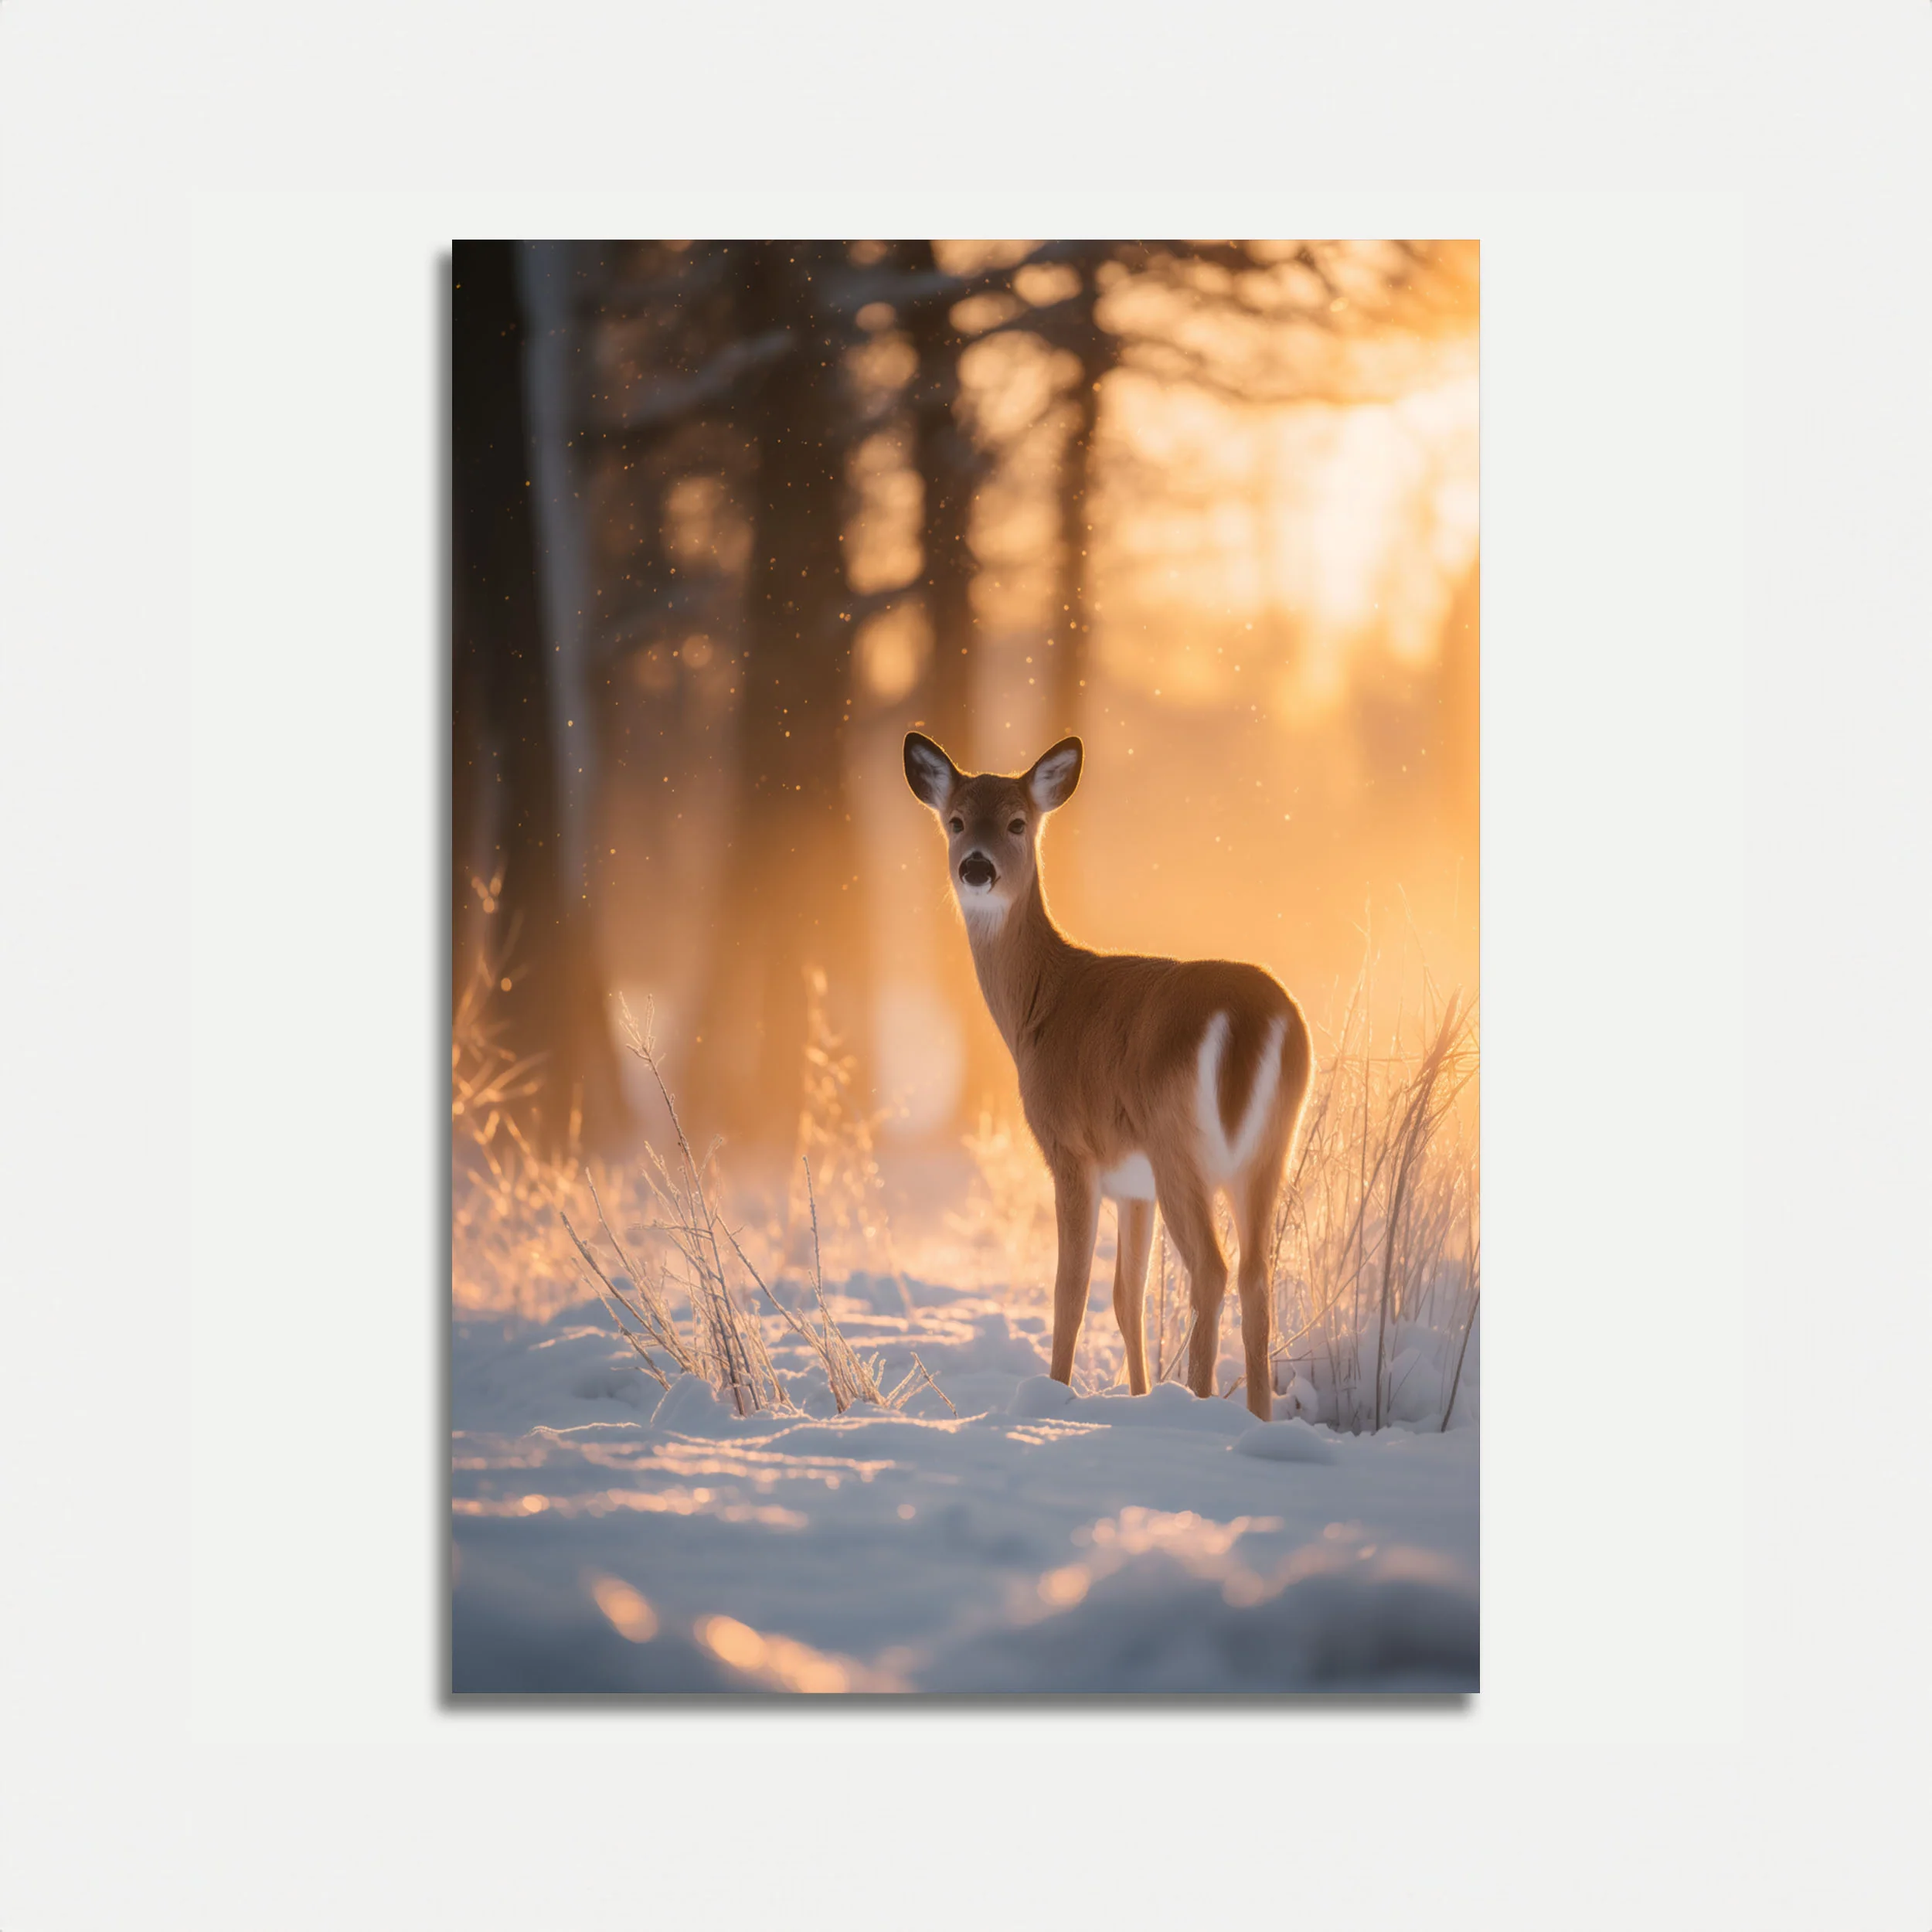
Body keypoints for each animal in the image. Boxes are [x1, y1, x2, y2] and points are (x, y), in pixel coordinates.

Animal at [905, 731, 1312, 1422]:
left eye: (1017, 822)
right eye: (955, 821)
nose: (977, 868)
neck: (1040, 1006)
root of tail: (1253, 1019)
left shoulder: (1071, 1150)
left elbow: (1070, 1290)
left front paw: (1054, 1397)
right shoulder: (1132, 1185)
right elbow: (1127, 1298)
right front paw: (1136, 1396)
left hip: (1179, 1143)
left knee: (1212, 1269)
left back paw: (1198, 1407)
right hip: (1266, 1151)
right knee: (1257, 1272)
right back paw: (1256, 1420)